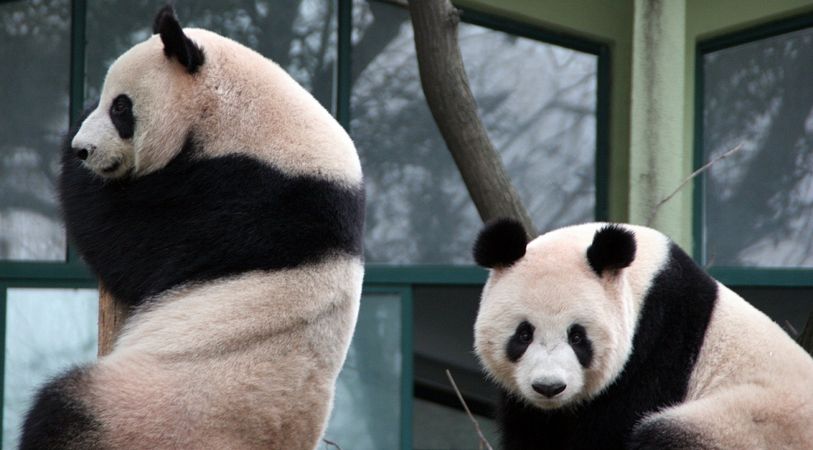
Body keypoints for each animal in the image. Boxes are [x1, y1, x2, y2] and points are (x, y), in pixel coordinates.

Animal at [20, 7, 364, 450]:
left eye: (120, 108)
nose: (84, 150)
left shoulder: (241, 199)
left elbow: (123, 239)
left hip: (160, 407)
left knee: (64, 412)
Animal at [470, 219, 812, 450]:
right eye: (523, 334)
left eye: (578, 337)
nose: (548, 387)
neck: (640, 282)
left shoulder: (658, 345)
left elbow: (611, 431)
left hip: (742, 425)